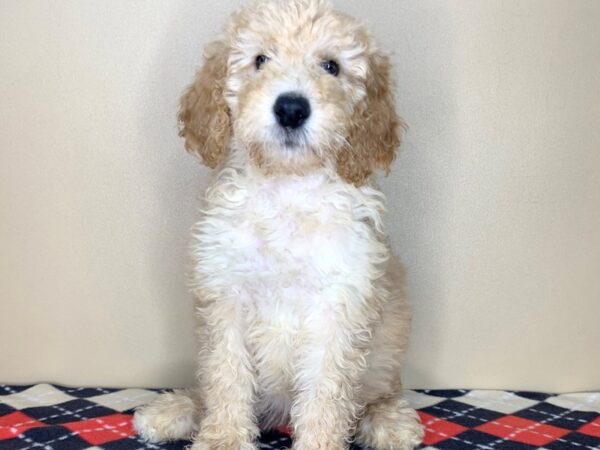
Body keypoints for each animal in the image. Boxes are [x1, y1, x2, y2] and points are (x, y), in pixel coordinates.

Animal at [134, 0, 424, 450]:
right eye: (260, 60)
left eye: (331, 66)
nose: (291, 108)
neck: (287, 188)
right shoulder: (226, 295)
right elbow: (226, 376)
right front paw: (223, 438)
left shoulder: (338, 305)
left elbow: (326, 393)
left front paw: (319, 443)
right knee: (207, 390)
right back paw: (176, 410)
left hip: (385, 357)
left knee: (376, 395)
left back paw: (388, 420)